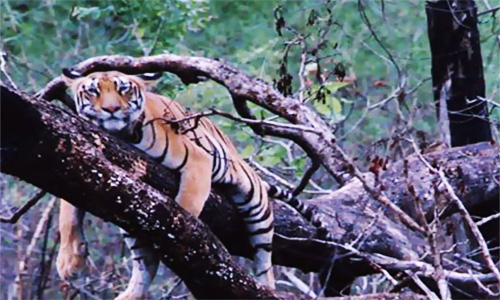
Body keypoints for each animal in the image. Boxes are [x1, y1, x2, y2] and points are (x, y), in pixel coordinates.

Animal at [55, 69, 320, 298]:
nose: (111, 109)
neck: (119, 134)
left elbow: (182, 212)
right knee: (144, 267)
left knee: (264, 260)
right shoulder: (83, 151)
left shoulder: (197, 160)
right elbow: (67, 212)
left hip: (256, 204)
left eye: (124, 90)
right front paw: (69, 261)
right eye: (94, 91)